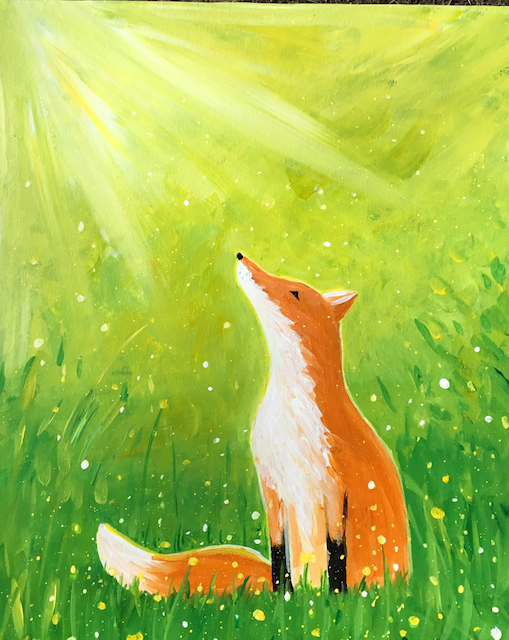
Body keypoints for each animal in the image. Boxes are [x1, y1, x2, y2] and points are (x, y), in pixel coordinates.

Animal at [97, 254, 409, 595]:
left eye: (295, 292)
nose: (241, 256)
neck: (291, 419)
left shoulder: (334, 488)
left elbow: (336, 554)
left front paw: (336, 600)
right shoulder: (271, 484)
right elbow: (277, 555)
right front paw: (283, 598)